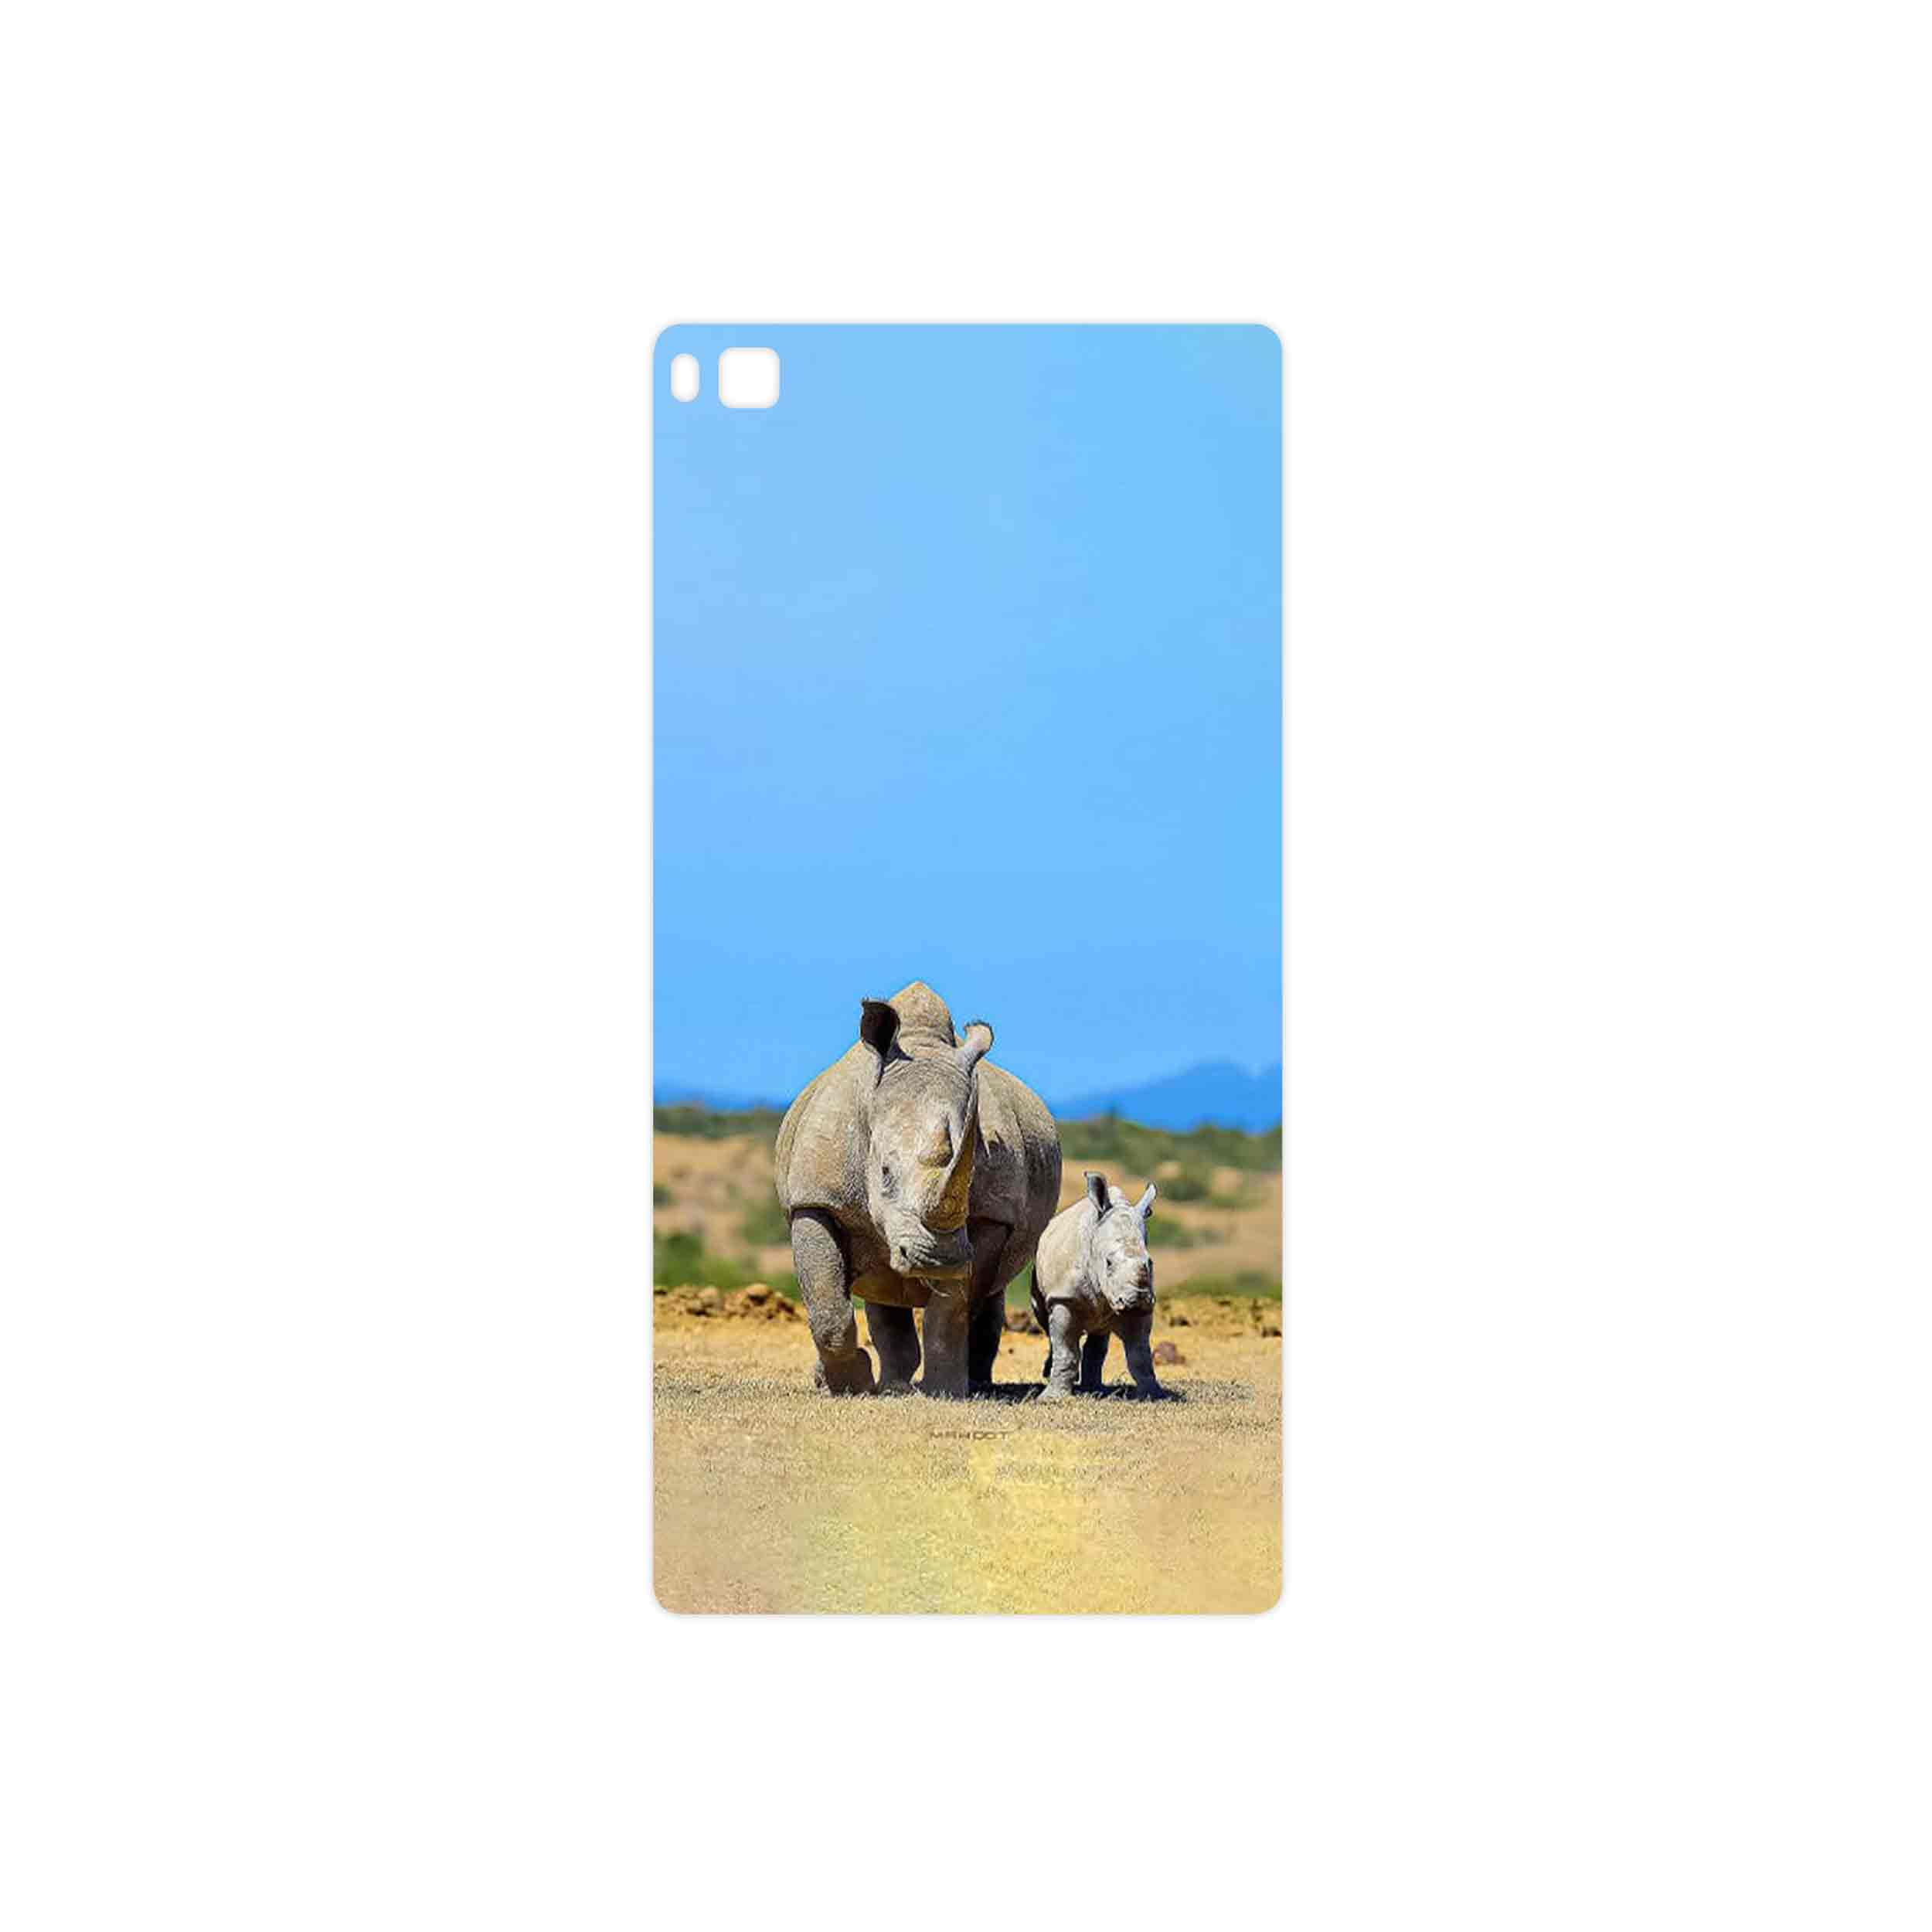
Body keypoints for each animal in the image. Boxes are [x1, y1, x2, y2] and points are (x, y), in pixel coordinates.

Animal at [774, 981, 1061, 1397]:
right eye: (884, 1173)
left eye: (970, 1176)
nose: (937, 1258)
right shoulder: (815, 1199)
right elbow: (828, 1305)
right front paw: (849, 1384)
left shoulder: (991, 1215)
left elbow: (952, 1309)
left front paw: (944, 1390)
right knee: (881, 1286)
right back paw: (887, 1385)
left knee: (986, 1294)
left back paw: (970, 1383)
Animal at [1030, 1171, 1165, 1398]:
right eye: (1108, 1263)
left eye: (1151, 1263)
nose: (1137, 1299)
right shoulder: (1064, 1297)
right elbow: (1065, 1350)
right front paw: (1052, 1398)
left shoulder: (1143, 1308)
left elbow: (1140, 1355)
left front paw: (1153, 1395)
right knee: (1047, 1323)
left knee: (1099, 1333)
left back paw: (1094, 1389)